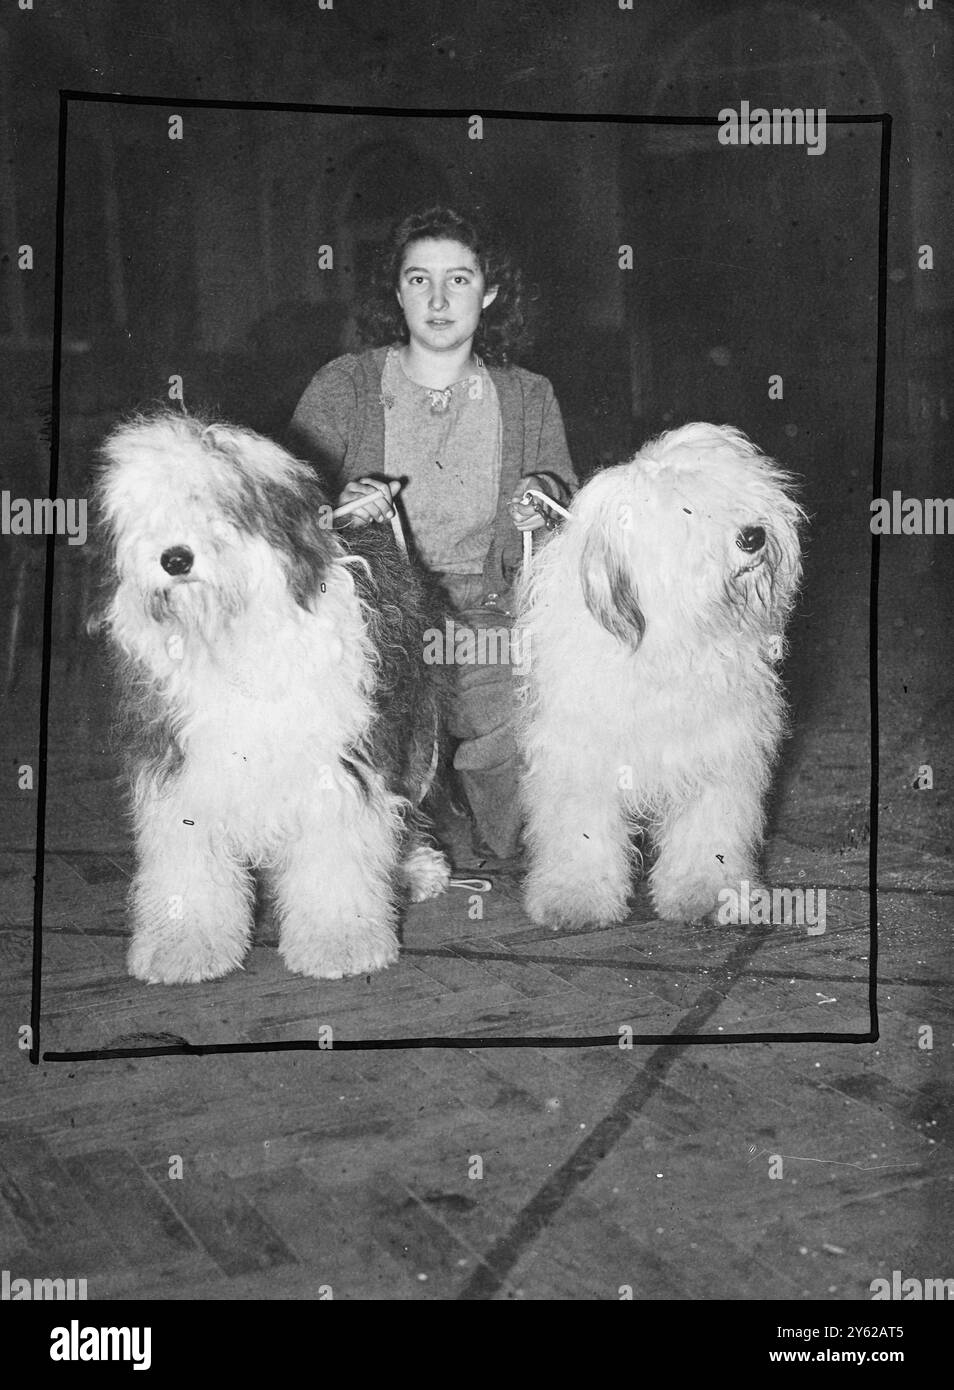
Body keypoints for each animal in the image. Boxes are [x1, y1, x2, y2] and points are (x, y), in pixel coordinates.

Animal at [95, 405, 450, 984]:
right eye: (148, 513)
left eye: (221, 506)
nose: (175, 559)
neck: (234, 639)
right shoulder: (181, 762)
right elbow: (187, 858)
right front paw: (184, 947)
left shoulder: (340, 761)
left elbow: (337, 854)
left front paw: (340, 942)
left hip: (413, 732)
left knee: (407, 807)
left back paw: (416, 868)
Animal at [520, 417, 801, 928]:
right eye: (686, 510)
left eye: (735, 488)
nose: (753, 536)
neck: (670, 643)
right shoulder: (581, 753)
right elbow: (581, 827)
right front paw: (576, 897)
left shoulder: (716, 750)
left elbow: (708, 830)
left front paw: (708, 893)